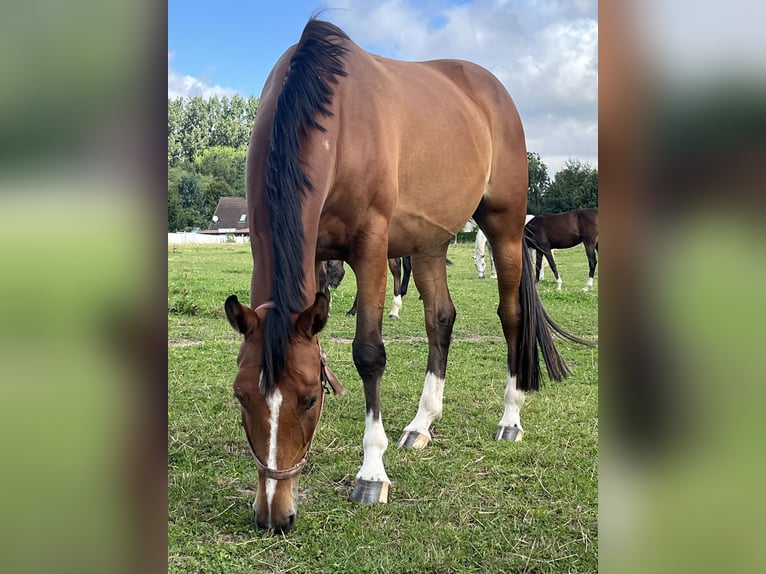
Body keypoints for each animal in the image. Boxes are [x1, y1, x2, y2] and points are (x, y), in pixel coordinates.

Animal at [222, 18, 588, 536]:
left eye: (310, 399)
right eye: (240, 397)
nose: (275, 514)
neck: (333, 115)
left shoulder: (372, 248)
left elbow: (368, 354)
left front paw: (371, 473)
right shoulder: (312, 256)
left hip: (504, 227)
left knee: (512, 315)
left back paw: (510, 418)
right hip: (429, 242)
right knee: (441, 319)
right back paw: (421, 424)